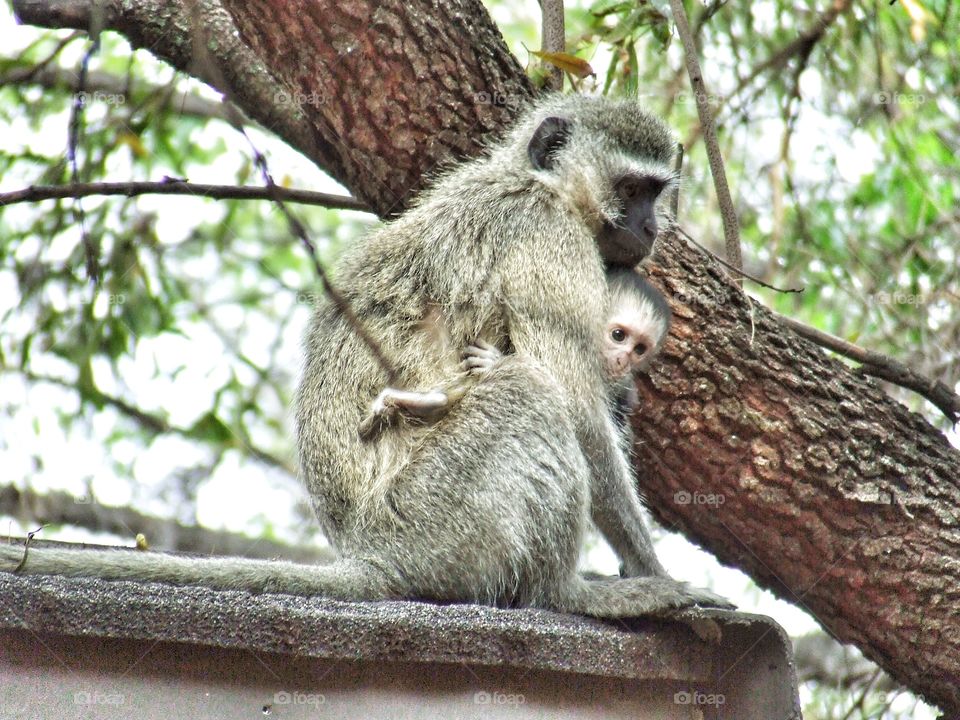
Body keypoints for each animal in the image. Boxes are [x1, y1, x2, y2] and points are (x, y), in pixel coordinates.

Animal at [0, 95, 730, 617]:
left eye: (656, 192)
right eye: (632, 190)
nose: (651, 227)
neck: (531, 181)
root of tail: (369, 552)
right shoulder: (546, 237)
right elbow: (575, 403)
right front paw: (654, 571)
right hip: (434, 518)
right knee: (529, 394)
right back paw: (571, 595)